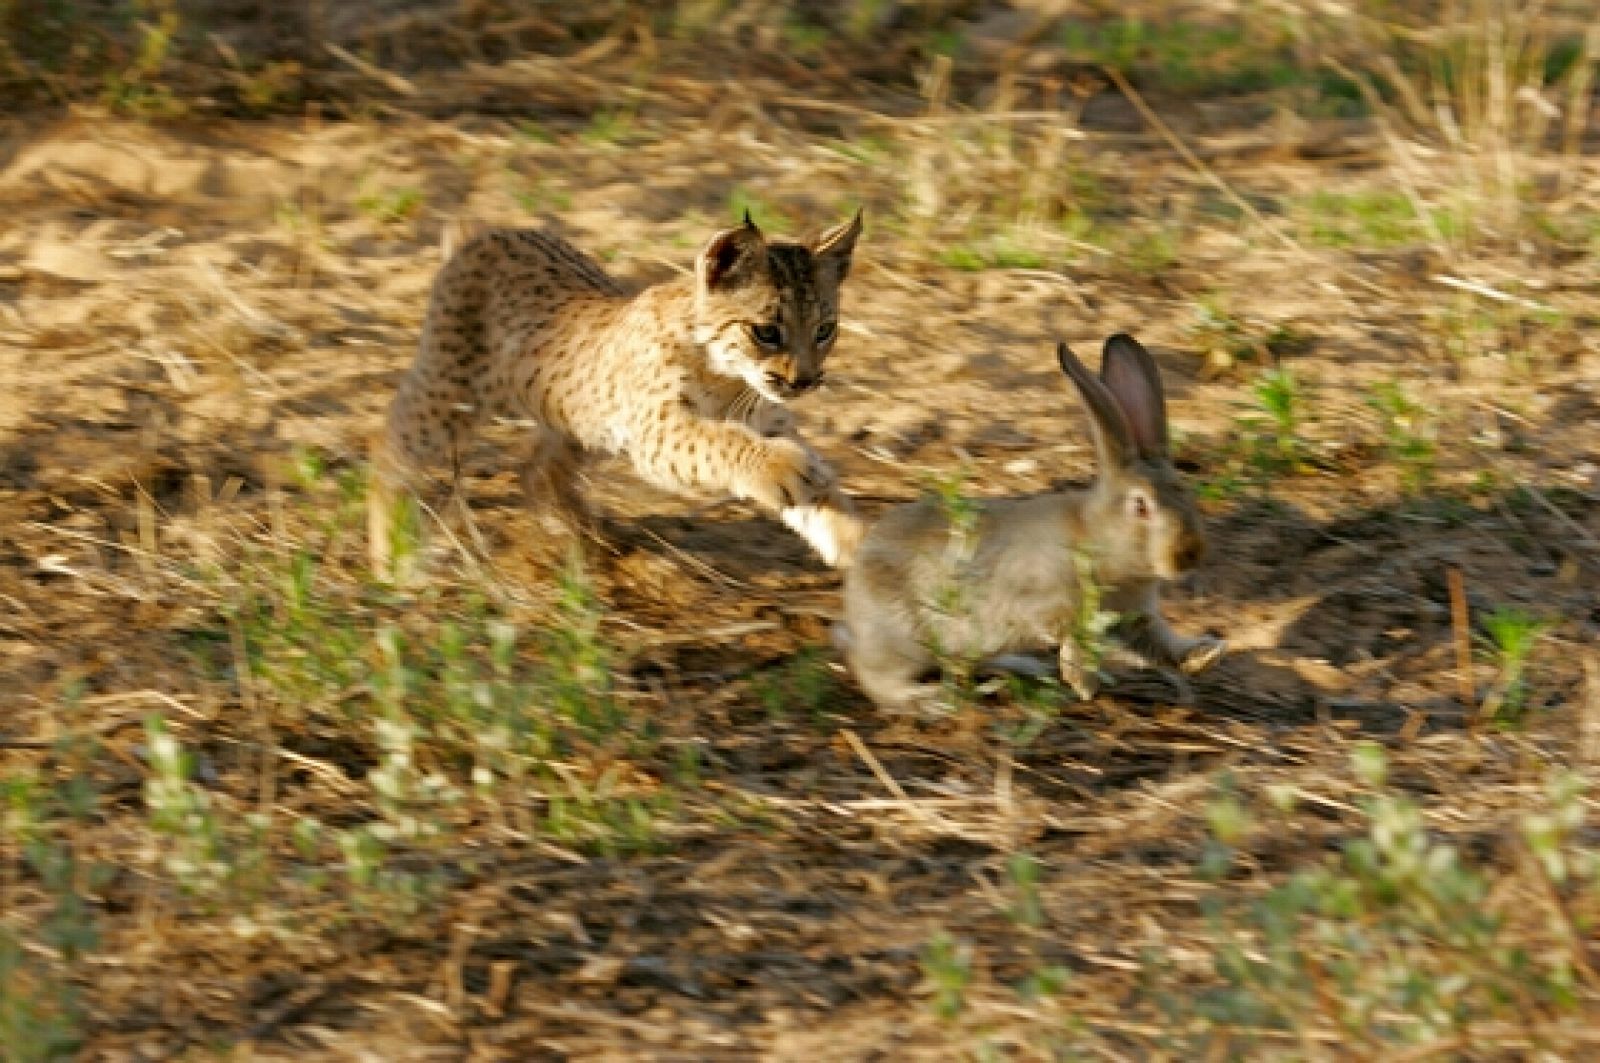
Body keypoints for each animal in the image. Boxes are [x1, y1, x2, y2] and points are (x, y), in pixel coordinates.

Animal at [832, 332, 1228, 714]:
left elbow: (1160, 643)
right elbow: (1070, 631)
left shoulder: (1136, 617)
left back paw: (1022, 667)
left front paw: (1204, 653)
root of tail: (855, 589)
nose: (1190, 554)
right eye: (1141, 506)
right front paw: (1083, 681)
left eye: (1185, 493)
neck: (1098, 539)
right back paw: (927, 701)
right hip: (901, 638)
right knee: (876, 677)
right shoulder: (1041, 597)